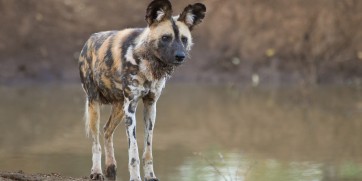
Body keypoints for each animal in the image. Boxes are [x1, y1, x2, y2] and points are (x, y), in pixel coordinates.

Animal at [78, 0, 205, 180]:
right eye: (165, 38)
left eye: (184, 39)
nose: (181, 56)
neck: (147, 62)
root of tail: (89, 39)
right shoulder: (131, 108)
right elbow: (134, 152)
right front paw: (135, 177)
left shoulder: (150, 106)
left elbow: (148, 150)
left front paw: (150, 176)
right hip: (95, 104)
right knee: (96, 142)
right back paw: (96, 172)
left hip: (119, 108)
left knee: (107, 131)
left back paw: (111, 168)